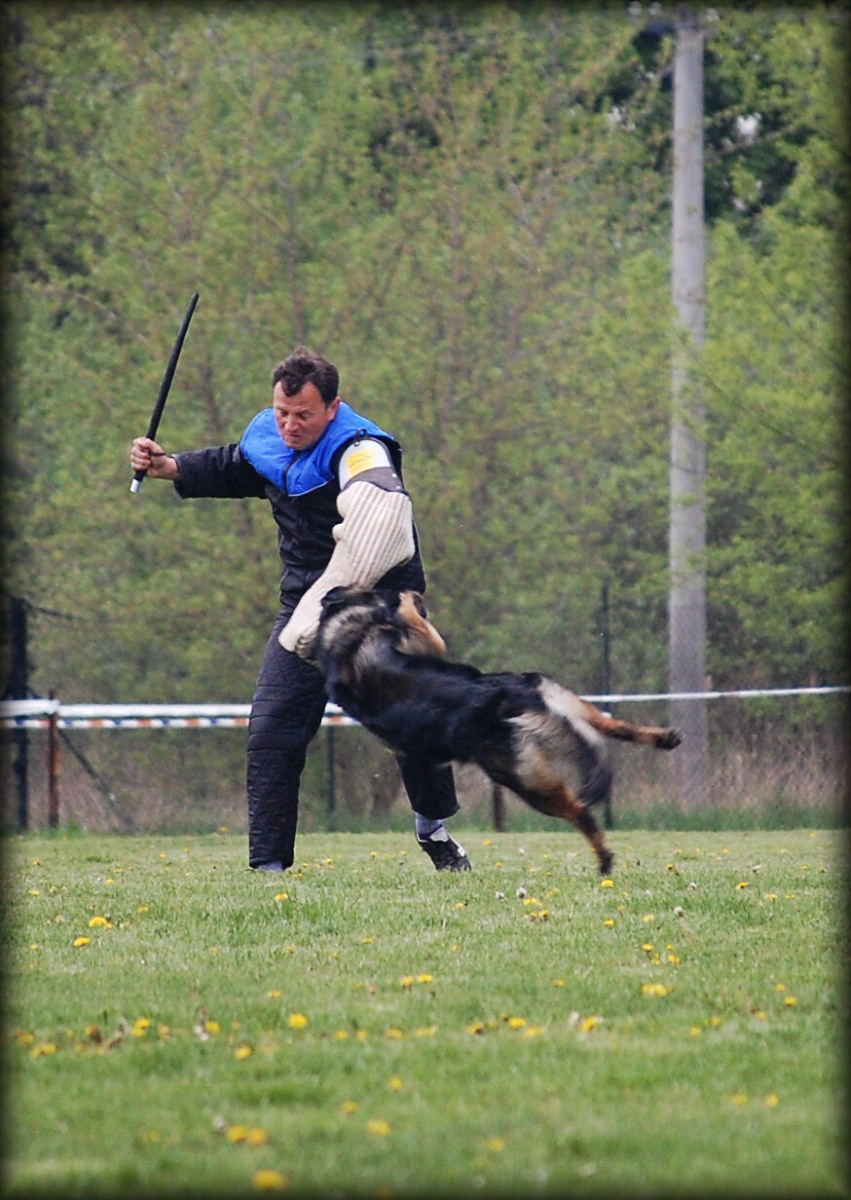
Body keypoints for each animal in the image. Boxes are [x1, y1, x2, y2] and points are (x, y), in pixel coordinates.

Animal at [314, 588, 681, 878]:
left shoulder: (413, 638)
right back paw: (663, 739)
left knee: (581, 813)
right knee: (612, 727)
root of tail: (517, 697)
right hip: (561, 712)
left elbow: (413, 622)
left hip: (527, 781)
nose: (410, 592)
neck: (342, 627)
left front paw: (405, 601)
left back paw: (604, 860)